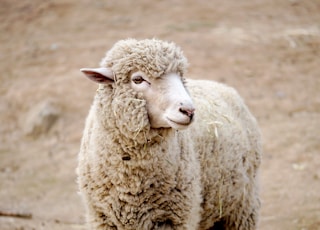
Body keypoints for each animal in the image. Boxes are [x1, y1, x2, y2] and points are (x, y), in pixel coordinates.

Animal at [78, 38, 262, 229]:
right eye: (138, 79)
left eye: (180, 78)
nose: (188, 110)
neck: (133, 182)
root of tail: (221, 85)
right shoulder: (102, 218)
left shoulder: (177, 218)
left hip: (243, 207)